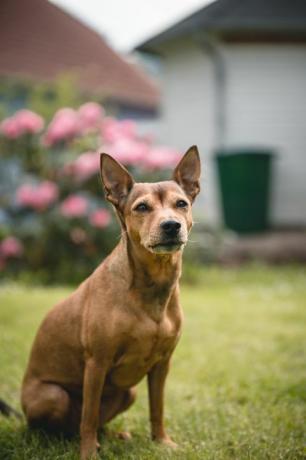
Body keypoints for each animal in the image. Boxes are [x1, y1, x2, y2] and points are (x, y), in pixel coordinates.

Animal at [20, 145, 201, 456]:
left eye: (181, 204)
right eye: (141, 207)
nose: (171, 226)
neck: (151, 286)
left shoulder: (162, 364)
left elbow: (157, 408)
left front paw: (162, 442)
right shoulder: (97, 363)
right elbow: (89, 416)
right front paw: (88, 453)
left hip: (129, 392)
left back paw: (114, 435)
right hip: (53, 395)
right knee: (64, 424)